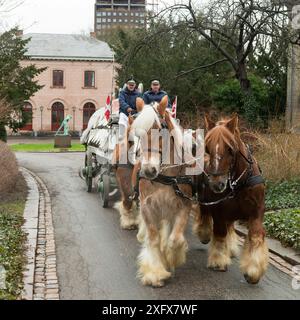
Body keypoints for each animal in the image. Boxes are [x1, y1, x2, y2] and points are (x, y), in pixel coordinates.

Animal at [195, 114, 270, 284]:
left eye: (230, 149)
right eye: (208, 148)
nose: (217, 184)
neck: (238, 183)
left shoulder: (257, 211)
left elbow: (256, 235)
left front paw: (253, 270)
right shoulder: (219, 210)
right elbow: (220, 232)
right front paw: (218, 260)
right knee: (205, 213)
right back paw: (204, 233)